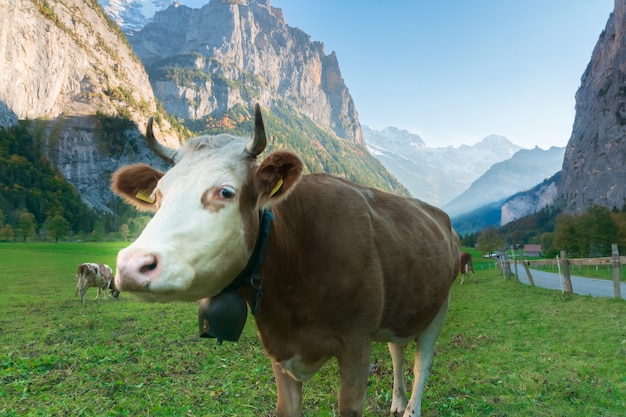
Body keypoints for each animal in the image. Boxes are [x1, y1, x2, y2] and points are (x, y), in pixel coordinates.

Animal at [111, 105, 458, 416]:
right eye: (157, 195)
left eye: (225, 192)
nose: (131, 265)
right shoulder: (279, 348)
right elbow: (286, 408)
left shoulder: (356, 342)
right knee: (397, 350)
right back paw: (397, 403)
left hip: (439, 306)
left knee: (422, 362)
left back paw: (411, 408)